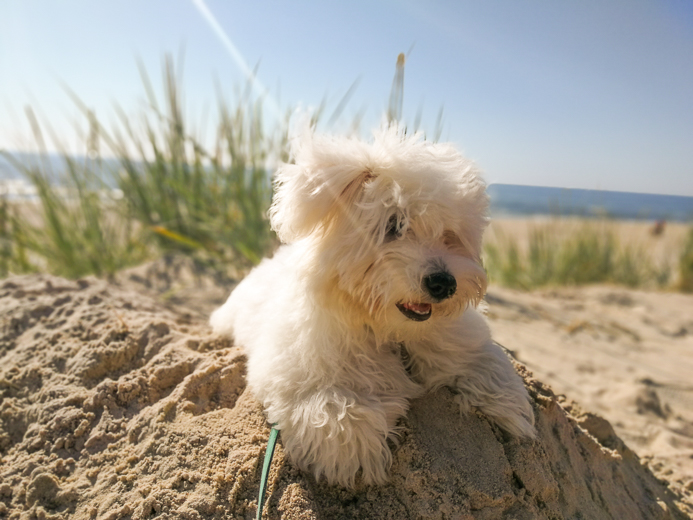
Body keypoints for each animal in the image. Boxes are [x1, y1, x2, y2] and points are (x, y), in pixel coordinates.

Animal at [211, 125, 536, 488]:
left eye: (449, 235)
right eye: (394, 225)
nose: (443, 283)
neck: (391, 333)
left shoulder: (458, 340)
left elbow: (487, 362)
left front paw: (509, 407)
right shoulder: (300, 371)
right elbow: (332, 410)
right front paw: (355, 455)